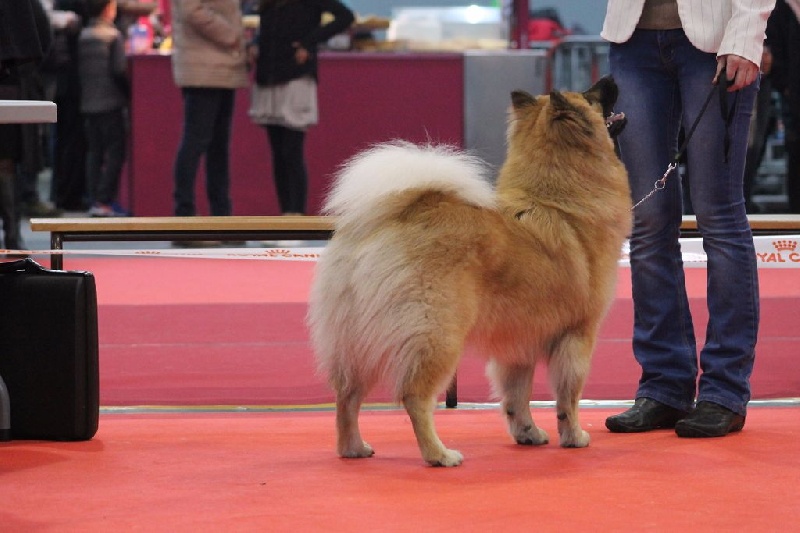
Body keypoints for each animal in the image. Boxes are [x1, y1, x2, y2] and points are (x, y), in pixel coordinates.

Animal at [307, 77, 631, 467]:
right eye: (589, 96)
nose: (610, 78)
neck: (559, 201)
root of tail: (388, 221)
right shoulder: (578, 334)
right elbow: (568, 395)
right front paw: (574, 436)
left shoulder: (517, 344)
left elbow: (516, 396)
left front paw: (528, 433)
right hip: (437, 335)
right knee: (414, 397)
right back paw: (439, 454)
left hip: (355, 340)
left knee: (347, 396)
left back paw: (354, 448)